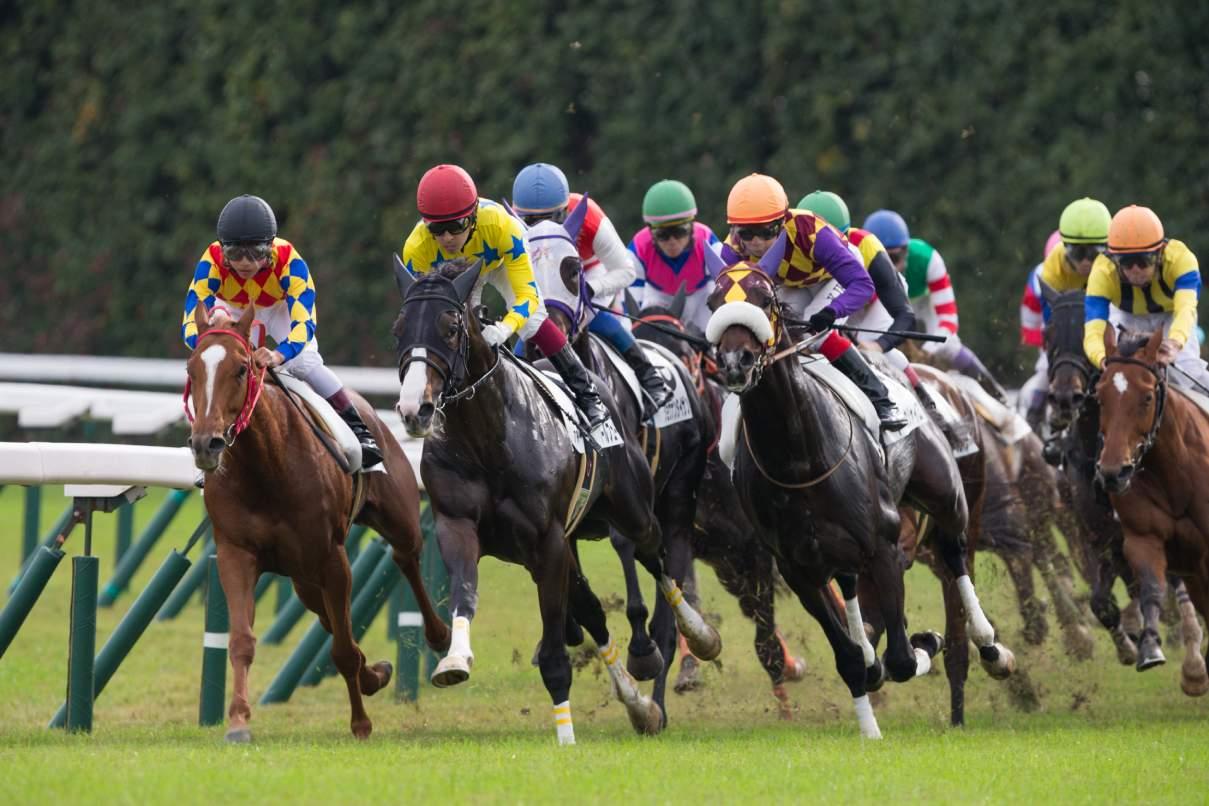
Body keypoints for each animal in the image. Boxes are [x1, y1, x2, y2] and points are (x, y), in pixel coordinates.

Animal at [186, 304, 452, 744]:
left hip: (397, 521)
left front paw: (360, 723)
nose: (206, 443)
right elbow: (241, 640)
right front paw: (238, 722)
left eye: (241, 369)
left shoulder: (332, 557)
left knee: (405, 559)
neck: (266, 468)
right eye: (192, 370)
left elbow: (341, 648)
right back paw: (374, 672)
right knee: (331, 616)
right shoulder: (236, 554)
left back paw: (440, 636)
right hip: (302, 577)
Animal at [394, 259, 715, 744]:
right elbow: (465, 593)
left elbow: (555, 658)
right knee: (595, 611)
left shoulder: (547, 543)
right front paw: (454, 658)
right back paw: (640, 707)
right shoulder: (459, 526)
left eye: (449, 328)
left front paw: (565, 738)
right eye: (399, 330)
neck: (488, 438)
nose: (416, 410)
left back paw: (696, 636)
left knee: (655, 555)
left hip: (635, 509)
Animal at [1097, 328, 1209, 696]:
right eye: (1099, 397)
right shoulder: (1143, 537)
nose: (1112, 472)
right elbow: (1150, 587)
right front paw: (1150, 648)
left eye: (1147, 397)